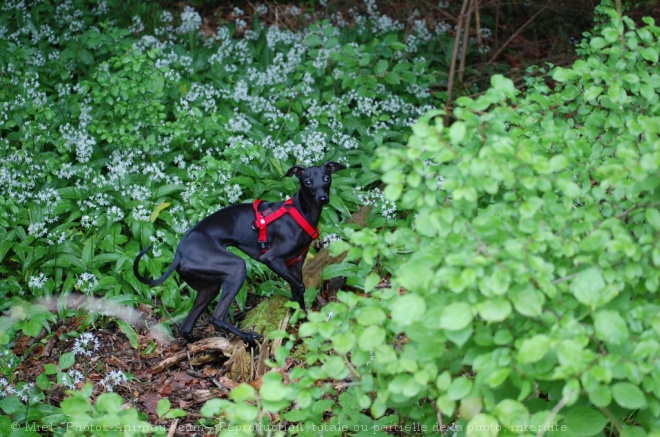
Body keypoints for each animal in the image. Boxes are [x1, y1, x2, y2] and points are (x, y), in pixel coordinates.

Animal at [133, 162, 346, 342]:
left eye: (326, 178)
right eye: (307, 181)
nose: (322, 198)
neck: (300, 213)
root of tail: (179, 251)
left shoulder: (295, 263)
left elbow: (298, 289)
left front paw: (302, 320)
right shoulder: (271, 258)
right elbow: (300, 286)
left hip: (209, 287)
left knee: (185, 327)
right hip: (236, 268)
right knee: (217, 317)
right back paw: (246, 336)